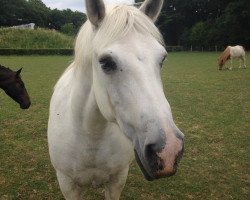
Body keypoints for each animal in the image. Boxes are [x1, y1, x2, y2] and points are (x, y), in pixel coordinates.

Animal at [47, 0, 184, 199]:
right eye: (106, 62)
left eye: (162, 59)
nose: (169, 150)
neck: (92, 135)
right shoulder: (68, 185)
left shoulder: (117, 180)